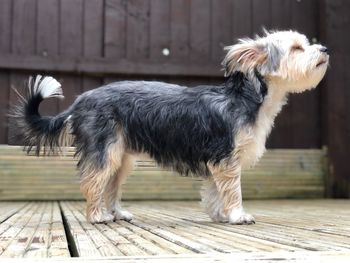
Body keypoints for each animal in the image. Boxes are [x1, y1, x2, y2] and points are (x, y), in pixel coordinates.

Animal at [13, 30, 328, 225]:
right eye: (297, 48)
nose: (324, 48)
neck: (250, 97)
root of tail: (80, 100)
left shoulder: (218, 160)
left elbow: (214, 191)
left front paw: (221, 216)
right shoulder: (226, 158)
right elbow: (232, 190)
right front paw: (238, 215)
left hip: (122, 158)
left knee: (111, 185)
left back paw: (116, 213)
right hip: (105, 152)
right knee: (93, 182)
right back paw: (97, 216)